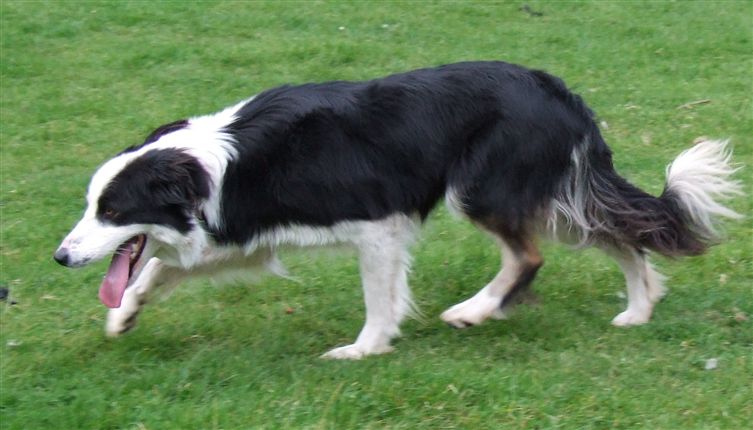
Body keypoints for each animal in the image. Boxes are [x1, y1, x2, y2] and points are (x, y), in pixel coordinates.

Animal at [54, 61, 741, 359]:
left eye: (111, 209)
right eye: (91, 205)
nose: (60, 256)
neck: (209, 167)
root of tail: (561, 92)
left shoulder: (376, 225)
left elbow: (379, 300)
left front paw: (364, 349)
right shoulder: (245, 234)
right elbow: (158, 267)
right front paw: (123, 318)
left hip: (485, 187)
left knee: (528, 256)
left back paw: (474, 311)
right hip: (554, 193)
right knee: (623, 235)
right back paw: (639, 308)